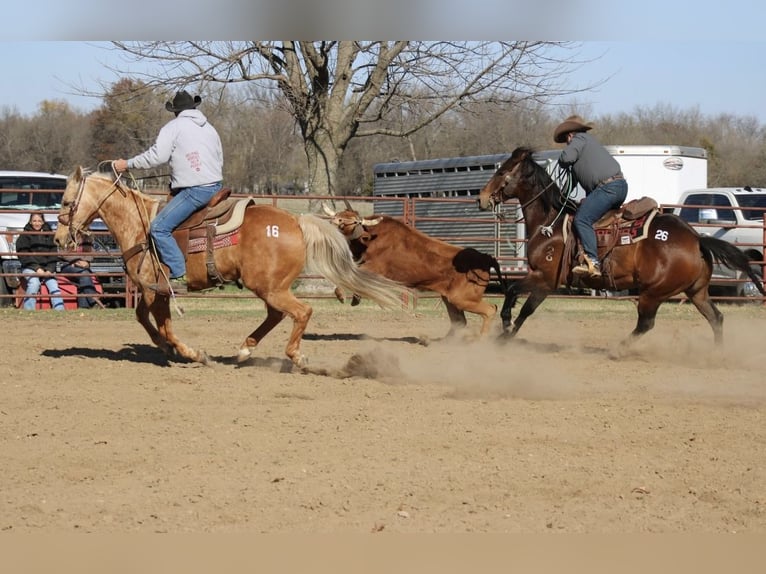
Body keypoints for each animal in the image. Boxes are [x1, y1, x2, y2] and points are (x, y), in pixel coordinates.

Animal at [54, 166, 412, 366]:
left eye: (67, 202)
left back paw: (294, 355)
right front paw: (166, 348)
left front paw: (191, 353)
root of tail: (296, 221)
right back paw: (244, 350)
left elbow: (164, 325)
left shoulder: (157, 290)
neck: (140, 226)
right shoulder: (152, 290)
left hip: (268, 286)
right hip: (270, 287)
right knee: (277, 315)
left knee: (301, 312)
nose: (58, 239)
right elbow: (145, 319)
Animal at [324, 206, 504, 338]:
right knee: (459, 320)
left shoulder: (375, 267)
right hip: (449, 299)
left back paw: (481, 340)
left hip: (462, 298)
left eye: (351, 222)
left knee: (490, 309)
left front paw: (343, 295)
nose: (332, 224)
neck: (371, 238)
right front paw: (354, 297)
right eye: (338, 216)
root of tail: (485, 258)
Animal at [476, 148, 764, 344]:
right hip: (697, 291)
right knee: (716, 318)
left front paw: (504, 328)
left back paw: (619, 348)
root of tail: (695, 239)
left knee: (646, 323)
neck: (551, 223)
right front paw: (506, 335)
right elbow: (525, 307)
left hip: (652, 293)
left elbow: (515, 295)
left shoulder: (544, 277)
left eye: (501, 172)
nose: (481, 197)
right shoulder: (546, 282)